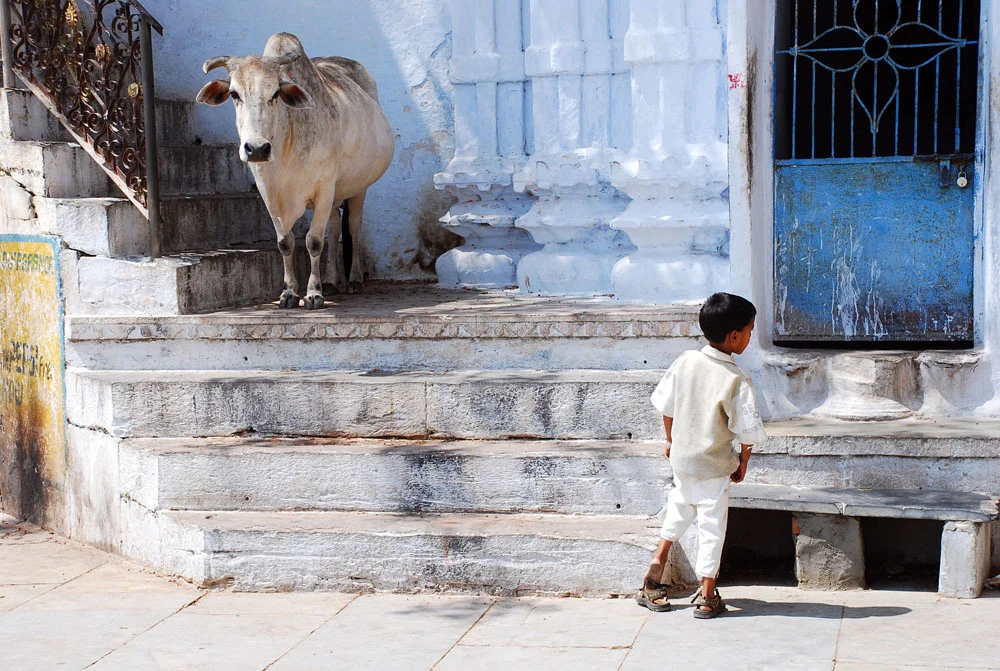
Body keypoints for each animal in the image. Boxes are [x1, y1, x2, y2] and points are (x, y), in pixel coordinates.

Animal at [196, 33, 394, 309]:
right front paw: (289, 292)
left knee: (353, 228)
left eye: (275, 93)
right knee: (334, 229)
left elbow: (313, 241)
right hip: (335, 196)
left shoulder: (324, 188)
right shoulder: (268, 194)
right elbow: (285, 243)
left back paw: (354, 279)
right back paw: (332, 280)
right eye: (234, 94)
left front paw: (313, 293)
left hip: (358, 188)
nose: (257, 149)